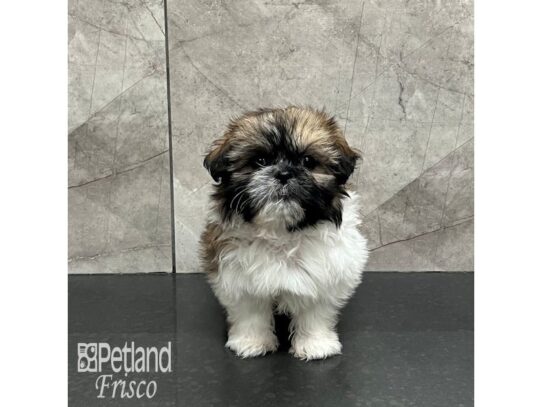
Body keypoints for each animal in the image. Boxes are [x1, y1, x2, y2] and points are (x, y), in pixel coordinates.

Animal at [200, 107, 370, 362]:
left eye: (308, 161)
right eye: (260, 161)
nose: (283, 173)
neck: (282, 233)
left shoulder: (325, 277)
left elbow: (314, 313)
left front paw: (315, 344)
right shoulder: (238, 278)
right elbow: (251, 313)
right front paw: (251, 342)